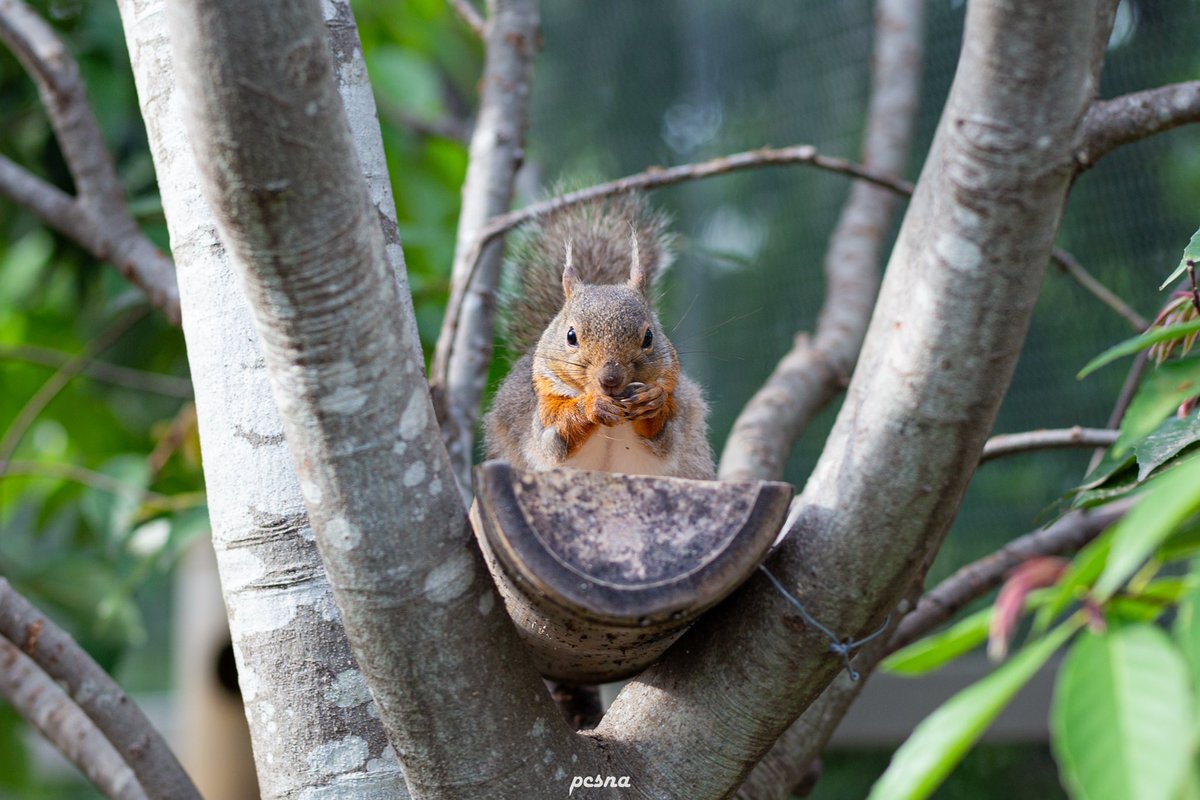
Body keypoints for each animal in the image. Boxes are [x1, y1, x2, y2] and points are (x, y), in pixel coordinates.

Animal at [484, 196, 710, 479]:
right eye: (571, 336)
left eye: (648, 337)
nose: (610, 378)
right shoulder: (545, 418)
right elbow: (555, 443)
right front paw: (593, 407)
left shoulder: (672, 417)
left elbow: (663, 438)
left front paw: (651, 402)